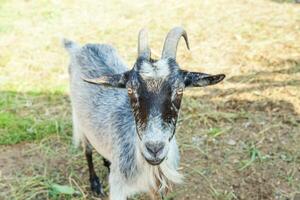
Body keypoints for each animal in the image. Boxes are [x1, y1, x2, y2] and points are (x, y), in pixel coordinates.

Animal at [62, 27, 225, 200]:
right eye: (130, 90)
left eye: (180, 90)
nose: (154, 149)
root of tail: (78, 48)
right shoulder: (118, 188)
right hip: (80, 121)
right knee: (87, 150)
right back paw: (95, 183)